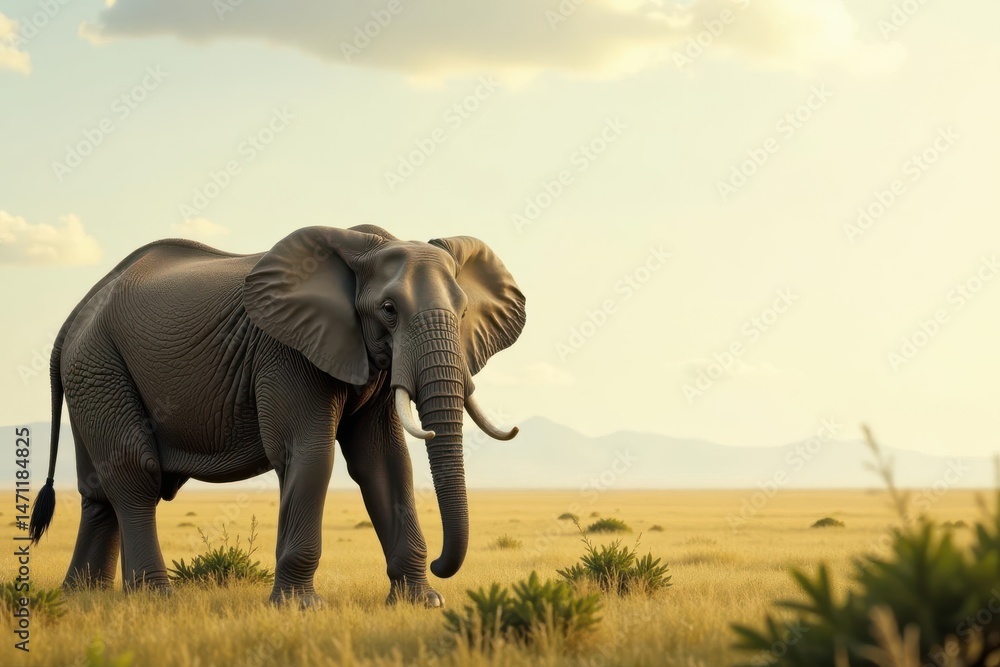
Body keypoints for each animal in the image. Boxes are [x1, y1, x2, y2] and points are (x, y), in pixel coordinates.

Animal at [28, 224, 526, 607]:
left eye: (464, 312)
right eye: (388, 310)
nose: (443, 565)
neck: (365, 247)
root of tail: (78, 310)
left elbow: (384, 462)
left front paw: (422, 602)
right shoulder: (286, 352)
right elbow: (309, 452)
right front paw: (299, 607)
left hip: (92, 371)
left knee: (98, 490)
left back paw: (82, 597)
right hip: (99, 364)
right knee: (135, 475)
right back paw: (153, 598)